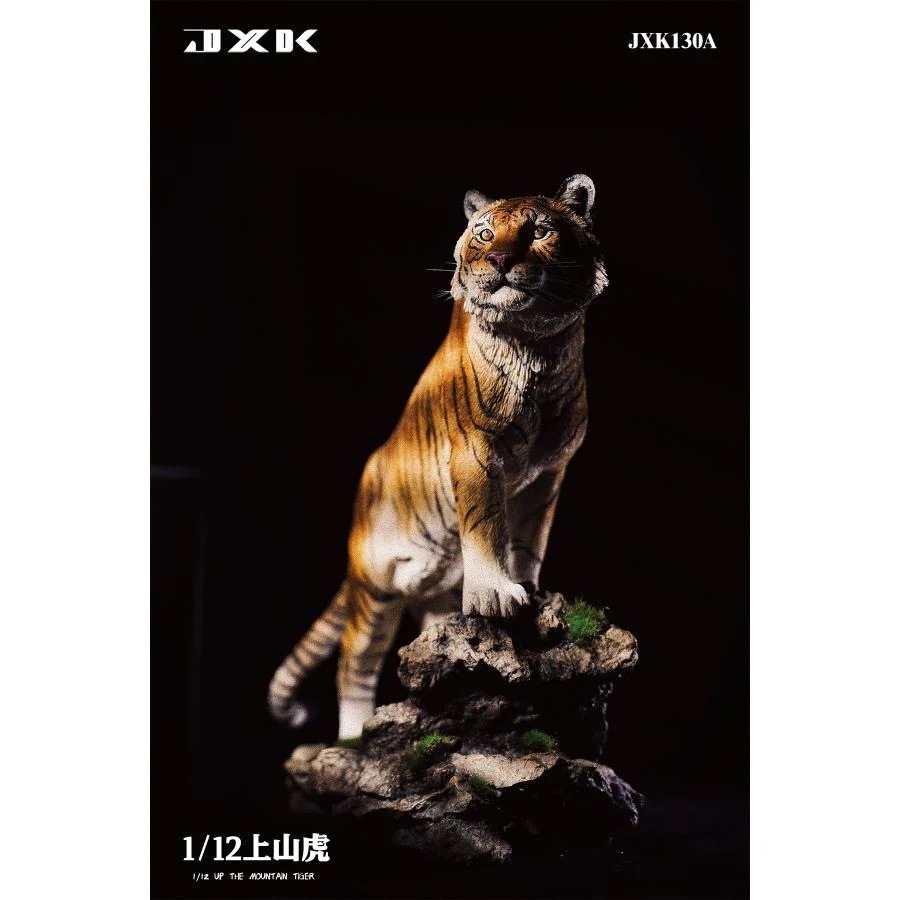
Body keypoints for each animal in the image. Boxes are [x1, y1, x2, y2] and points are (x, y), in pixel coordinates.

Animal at [268, 174, 608, 740]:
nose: (500, 260)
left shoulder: (549, 471)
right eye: (485, 232)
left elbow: (529, 534)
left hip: (427, 578)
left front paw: (530, 589)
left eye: (540, 231)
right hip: (376, 589)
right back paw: (355, 737)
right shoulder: (475, 454)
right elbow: (488, 524)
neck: (538, 347)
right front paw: (497, 596)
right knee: (355, 659)